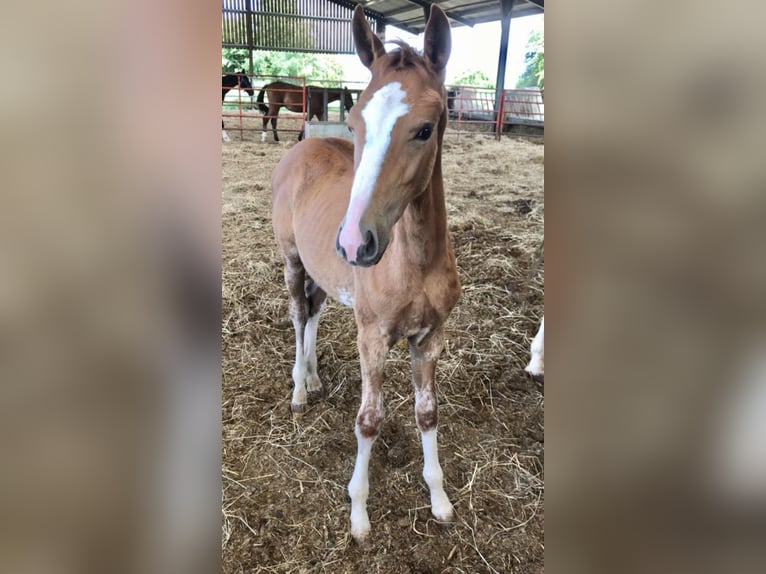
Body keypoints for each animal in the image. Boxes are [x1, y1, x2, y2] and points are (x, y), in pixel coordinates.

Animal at [271, 5, 457, 543]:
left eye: (425, 129)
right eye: (354, 124)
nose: (355, 242)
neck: (415, 263)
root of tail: (298, 151)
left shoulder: (430, 337)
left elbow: (427, 413)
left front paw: (439, 499)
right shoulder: (372, 336)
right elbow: (369, 420)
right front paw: (358, 514)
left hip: (325, 274)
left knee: (313, 311)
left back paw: (313, 378)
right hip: (293, 260)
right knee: (297, 314)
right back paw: (298, 390)